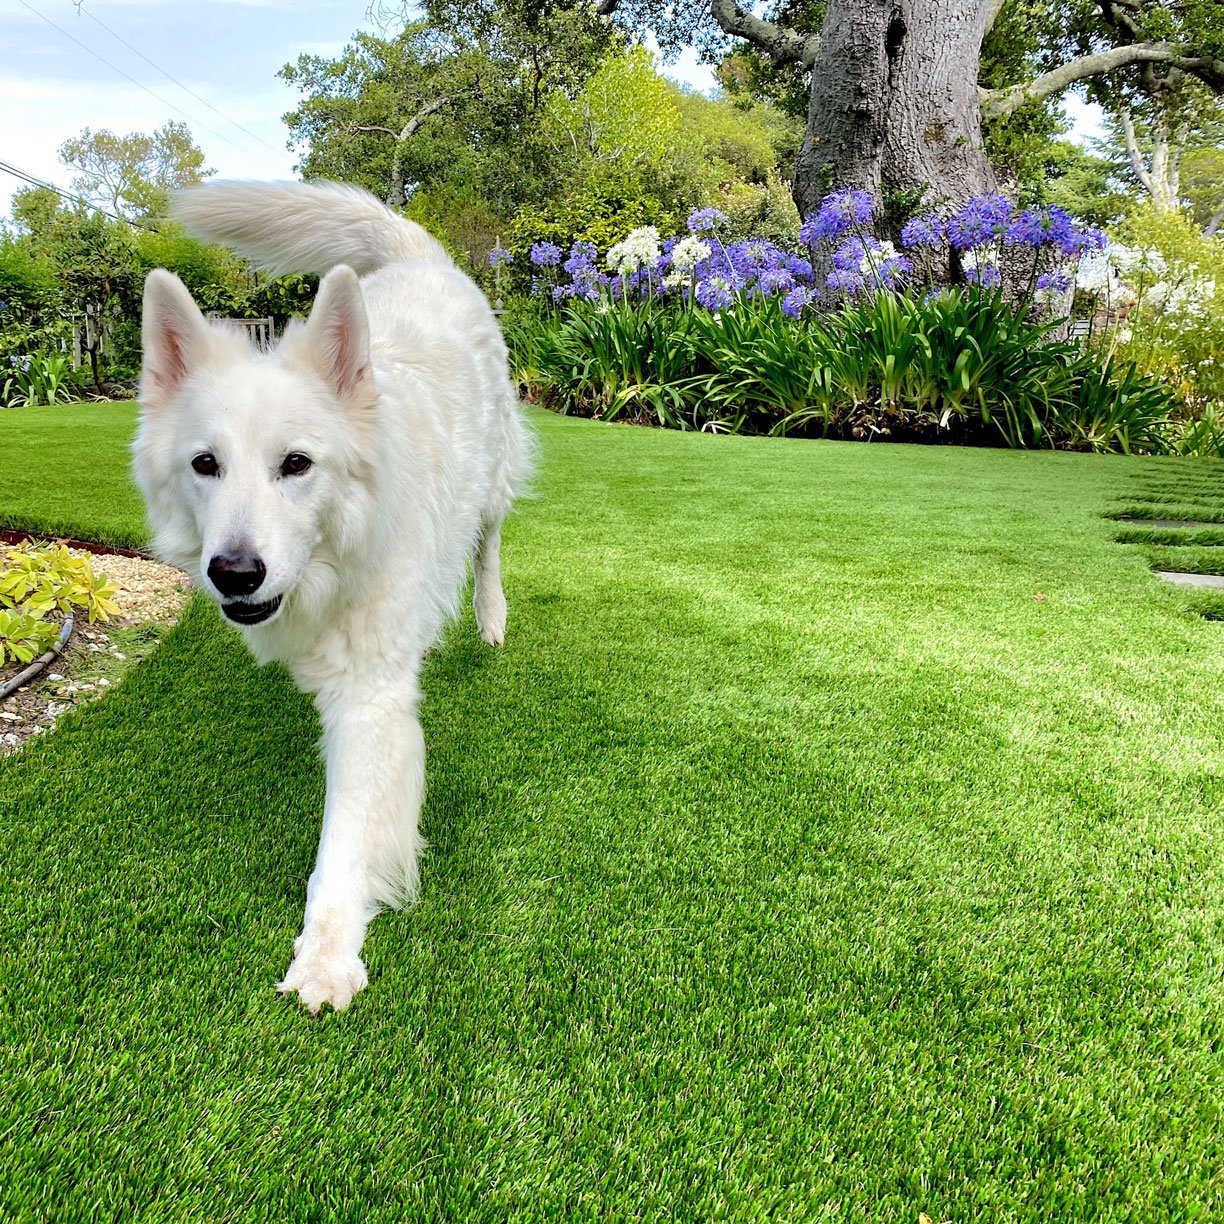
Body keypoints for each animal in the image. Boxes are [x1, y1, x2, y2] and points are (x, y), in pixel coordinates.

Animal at [132, 181, 531, 1013]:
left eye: (297, 464)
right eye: (206, 464)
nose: (235, 573)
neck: (337, 559)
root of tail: (423, 259)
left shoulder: (370, 702)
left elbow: (345, 840)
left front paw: (327, 953)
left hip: (495, 486)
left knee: (489, 544)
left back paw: (490, 618)